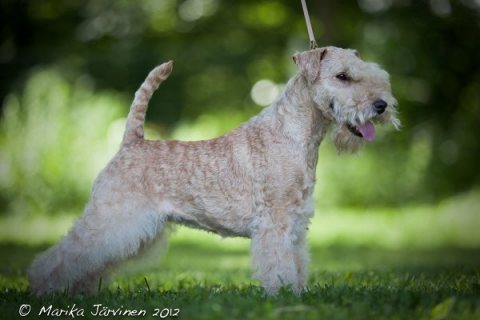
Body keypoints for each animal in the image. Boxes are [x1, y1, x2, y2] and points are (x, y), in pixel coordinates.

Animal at [28, 46, 400, 296]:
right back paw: (44, 289)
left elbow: (297, 265)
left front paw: (298, 297)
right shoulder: (275, 224)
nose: (381, 106)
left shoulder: (295, 226)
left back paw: (79, 292)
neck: (293, 134)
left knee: (90, 263)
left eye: (370, 72)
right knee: (63, 255)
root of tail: (130, 143)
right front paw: (281, 298)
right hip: (112, 218)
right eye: (343, 76)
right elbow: (278, 266)